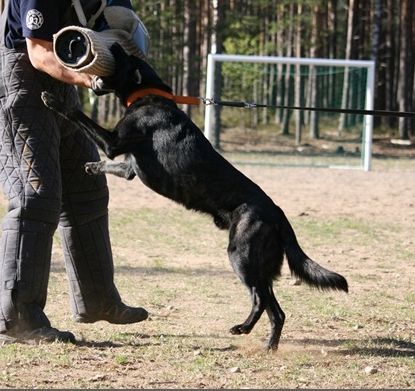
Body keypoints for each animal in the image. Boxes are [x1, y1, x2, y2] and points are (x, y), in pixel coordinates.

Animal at [41, 44, 348, 350]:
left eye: (126, 58)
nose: (116, 45)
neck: (149, 94)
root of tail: (278, 213)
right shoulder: (129, 167)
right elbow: (110, 165)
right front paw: (92, 167)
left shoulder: (113, 142)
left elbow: (79, 116)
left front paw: (54, 101)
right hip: (262, 266)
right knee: (269, 305)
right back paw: (255, 335)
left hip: (241, 255)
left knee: (267, 303)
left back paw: (260, 339)